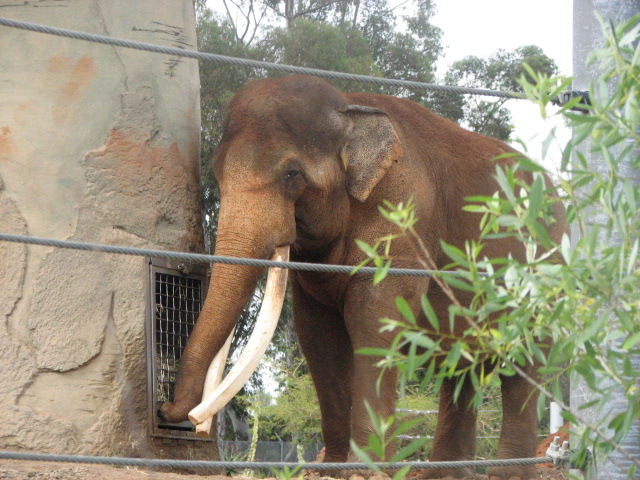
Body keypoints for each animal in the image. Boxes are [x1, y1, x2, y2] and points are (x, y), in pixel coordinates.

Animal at [159, 74, 567, 479]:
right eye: (215, 172)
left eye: (292, 174)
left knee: (525, 364)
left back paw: (508, 473)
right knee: (461, 368)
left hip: (544, 278)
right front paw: (332, 470)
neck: (348, 107)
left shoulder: (401, 216)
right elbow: (317, 334)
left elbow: (375, 319)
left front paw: (365, 469)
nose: (169, 412)